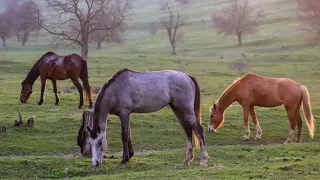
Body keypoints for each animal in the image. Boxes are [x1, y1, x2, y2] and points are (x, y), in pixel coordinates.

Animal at [76, 69, 209, 169]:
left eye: (100, 142)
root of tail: (187, 76)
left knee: (198, 129)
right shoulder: (125, 115)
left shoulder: (124, 113)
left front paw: (123, 161)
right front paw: (129, 156)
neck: (116, 90)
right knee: (188, 130)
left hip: (186, 110)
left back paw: (203, 161)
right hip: (178, 109)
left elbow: (124, 135)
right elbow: (128, 134)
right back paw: (187, 160)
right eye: (89, 143)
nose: (95, 163)